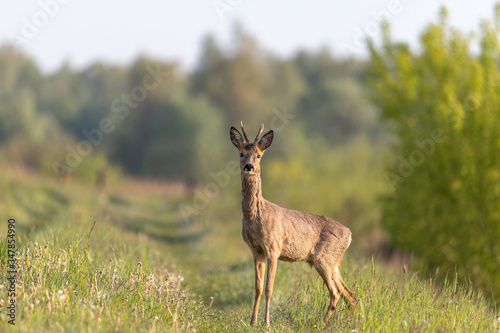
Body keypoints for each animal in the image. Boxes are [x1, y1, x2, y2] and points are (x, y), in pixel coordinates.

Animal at [230, 122, 356, 326]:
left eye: (258, 155)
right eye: (241, 153)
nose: (249, 166)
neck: (255, 217)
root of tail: (350, 234)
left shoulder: (273, 248)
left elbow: (269, 288)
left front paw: (266, 323)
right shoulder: (256, 251)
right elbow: (257, 288)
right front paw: (252, 322)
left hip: (324, 258)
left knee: (336, 293)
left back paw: (321, 324)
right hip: (333, 261)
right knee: (349, 294)